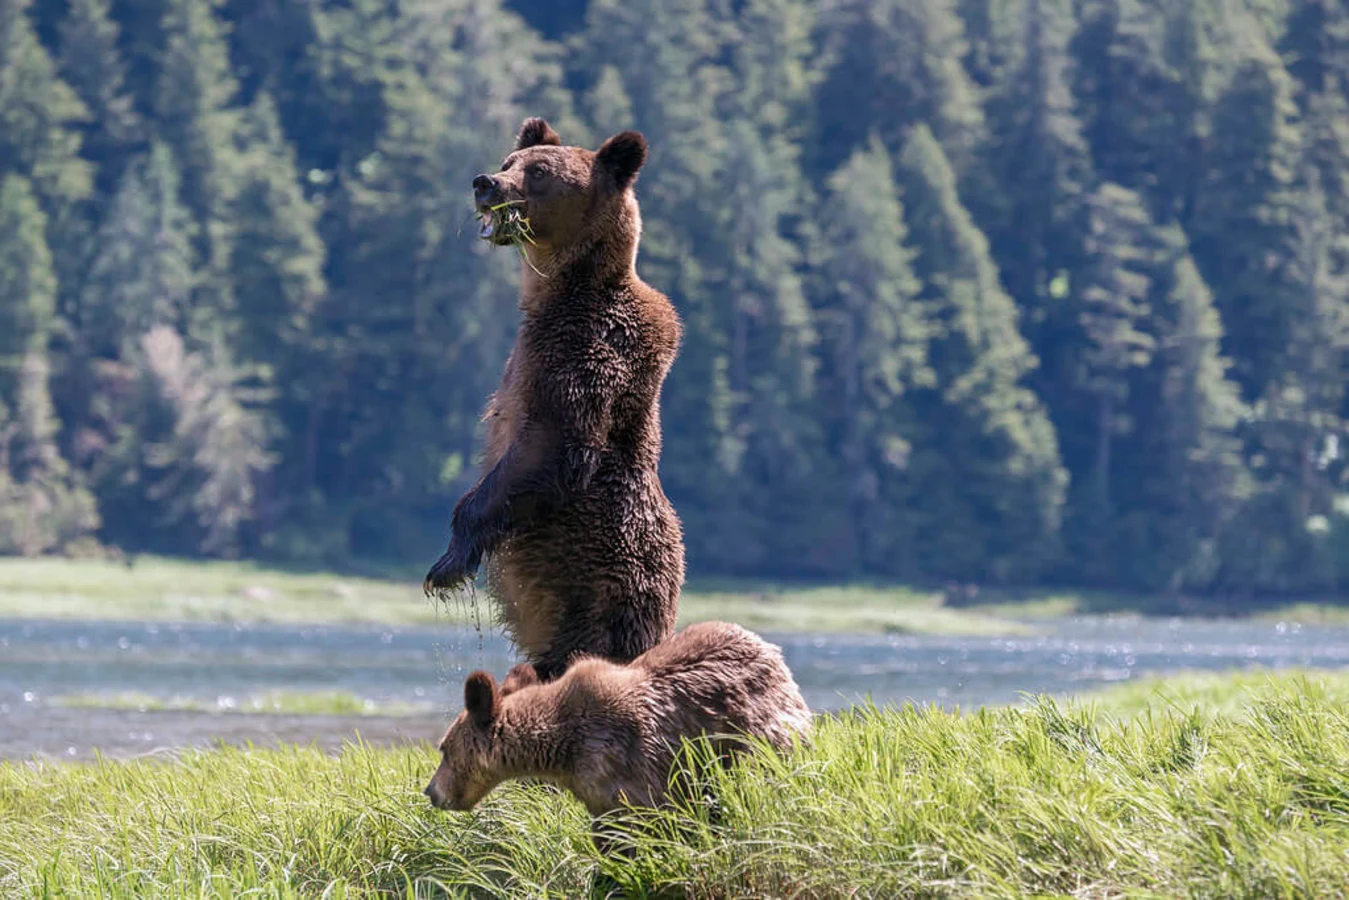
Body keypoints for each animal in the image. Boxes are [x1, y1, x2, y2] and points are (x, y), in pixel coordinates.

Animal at [422, 621, 813, 847]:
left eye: (444, 748)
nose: (430, 791)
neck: (562, 748)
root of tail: (773, 653)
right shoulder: (596, 792)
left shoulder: (635, 766)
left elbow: (652, 829)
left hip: (761, 732)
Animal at [423, 117, 685, 682]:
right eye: (509, 161)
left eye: (540, 172)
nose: (484, 183)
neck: (563, 288)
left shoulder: (583, 349)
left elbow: (557, 447)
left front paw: (449, 563)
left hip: (598, 608)